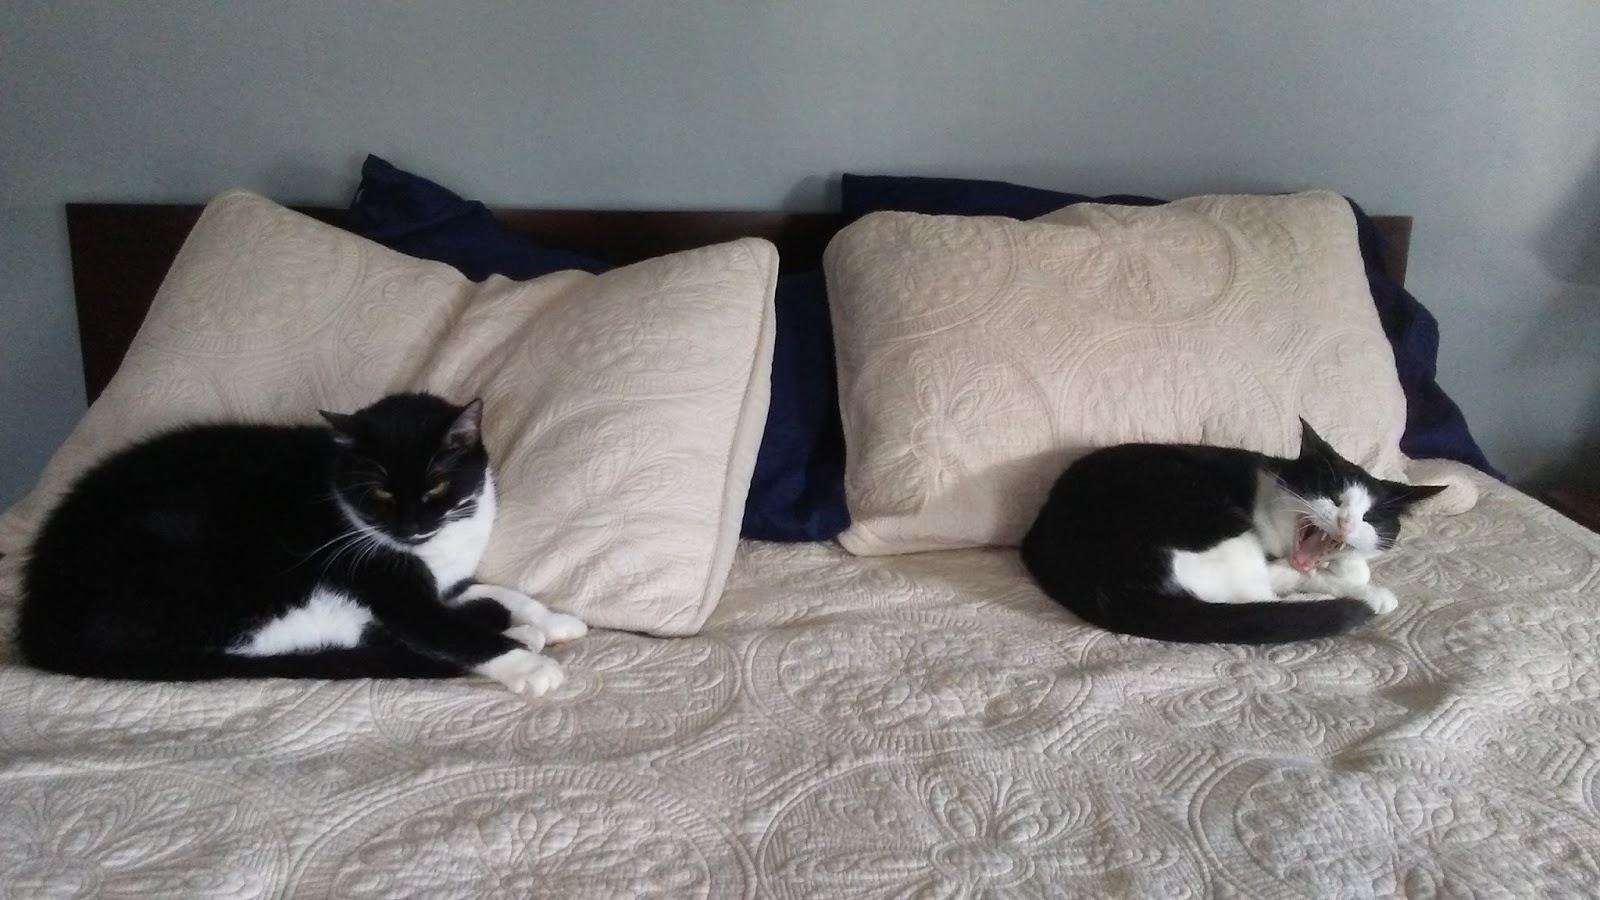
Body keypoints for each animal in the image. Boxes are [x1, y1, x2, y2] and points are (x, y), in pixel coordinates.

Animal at [18, 392, 583, 697]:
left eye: (437, 486)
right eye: (380, 493)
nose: (409, 527)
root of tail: (38, 620)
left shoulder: (448, 578)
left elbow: (498, 590)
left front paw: (555, 620)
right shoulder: (381, 581)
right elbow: (444, 628)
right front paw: (529, 664)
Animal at [1020, 419, 1445, 644]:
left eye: (1370, 517)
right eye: (1332, 494)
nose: (1345, 522)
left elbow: (1352, 563)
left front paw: (1349, 566)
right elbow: (1317, 575)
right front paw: (1367, 590)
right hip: (1210, 524)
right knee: (1257, 597)